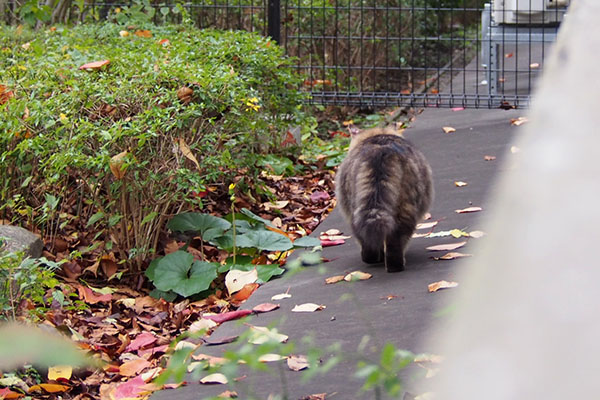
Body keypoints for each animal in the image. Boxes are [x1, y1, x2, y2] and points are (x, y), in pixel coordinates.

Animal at [336, 126, 434, 274]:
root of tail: (381, 150)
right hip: (406, 205)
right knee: (396, 238)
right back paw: (393, 264)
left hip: (358, 209)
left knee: (366, 235)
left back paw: (376, 259)